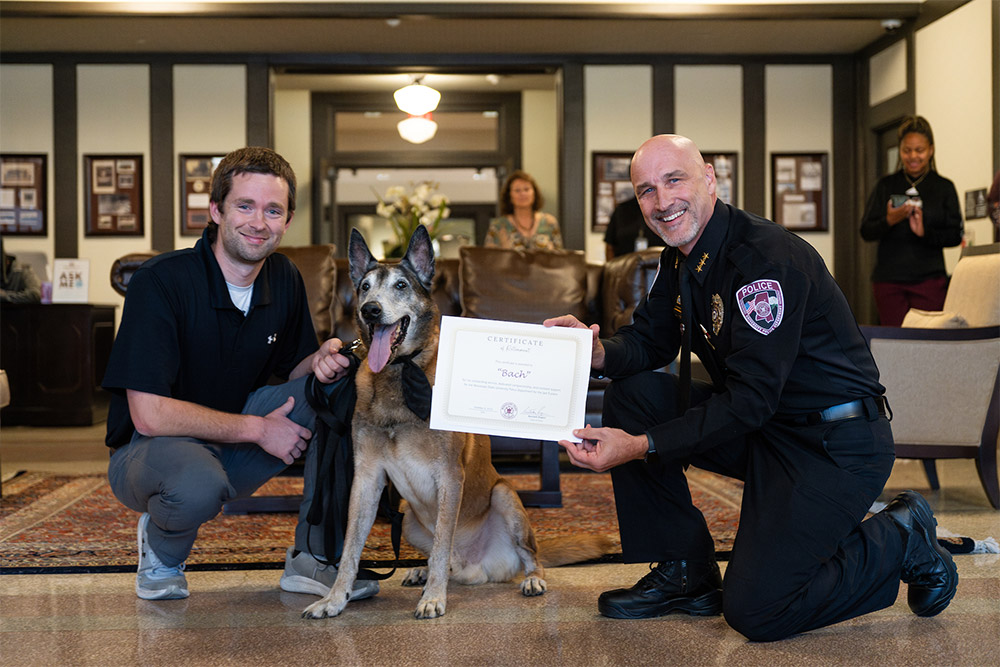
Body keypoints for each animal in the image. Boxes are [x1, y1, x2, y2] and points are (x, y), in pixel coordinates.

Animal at [302, 228, 616, 620]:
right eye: (364, 287)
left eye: (401, 285)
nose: (369, 310)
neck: (398, 372)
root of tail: (475, 568)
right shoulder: (367, 479)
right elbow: (349, 550)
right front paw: (335, 598)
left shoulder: (449, 476)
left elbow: (441, 543)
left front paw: (434, 598)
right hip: (406, 515)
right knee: (447, 559)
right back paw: (421, 573)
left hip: (504, 497)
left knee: (529, 558)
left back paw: (529, 579)